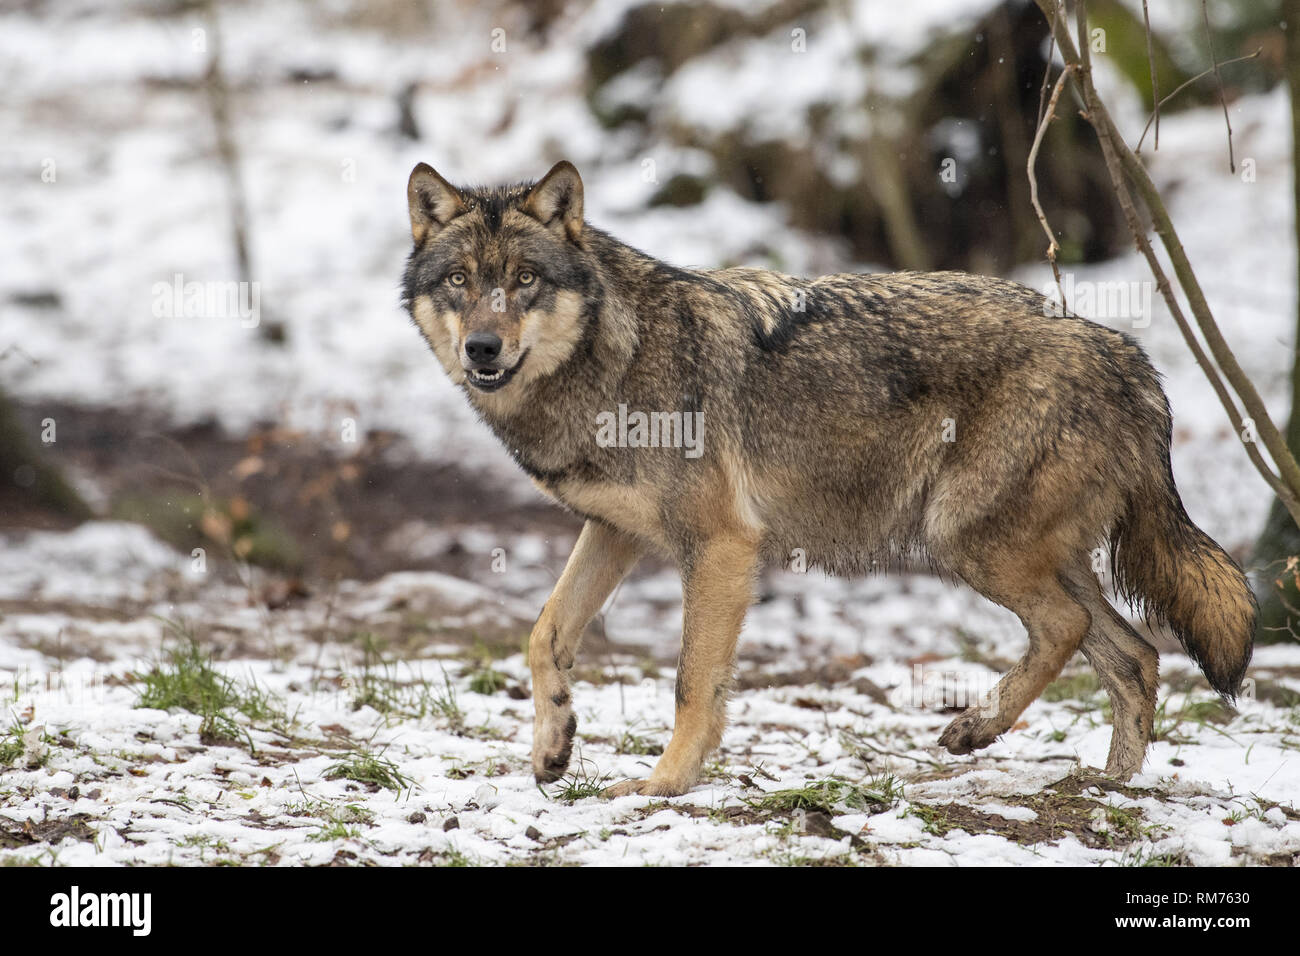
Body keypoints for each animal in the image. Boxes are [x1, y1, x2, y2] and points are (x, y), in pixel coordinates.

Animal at [400, 162, 1253, 801]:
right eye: (460, 281)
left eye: (524, 279)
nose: (482, 348)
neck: (613, 360)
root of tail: (1127, 357)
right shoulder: (615, 533)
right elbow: (544, 634)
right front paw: (553, 748)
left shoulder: (719, 545)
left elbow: (691, 682)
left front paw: (665, 784)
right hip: (1026, 554)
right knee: (1134, 655)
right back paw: (1110, 787)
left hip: (962, 541)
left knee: (1070, 631)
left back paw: (975, 729)